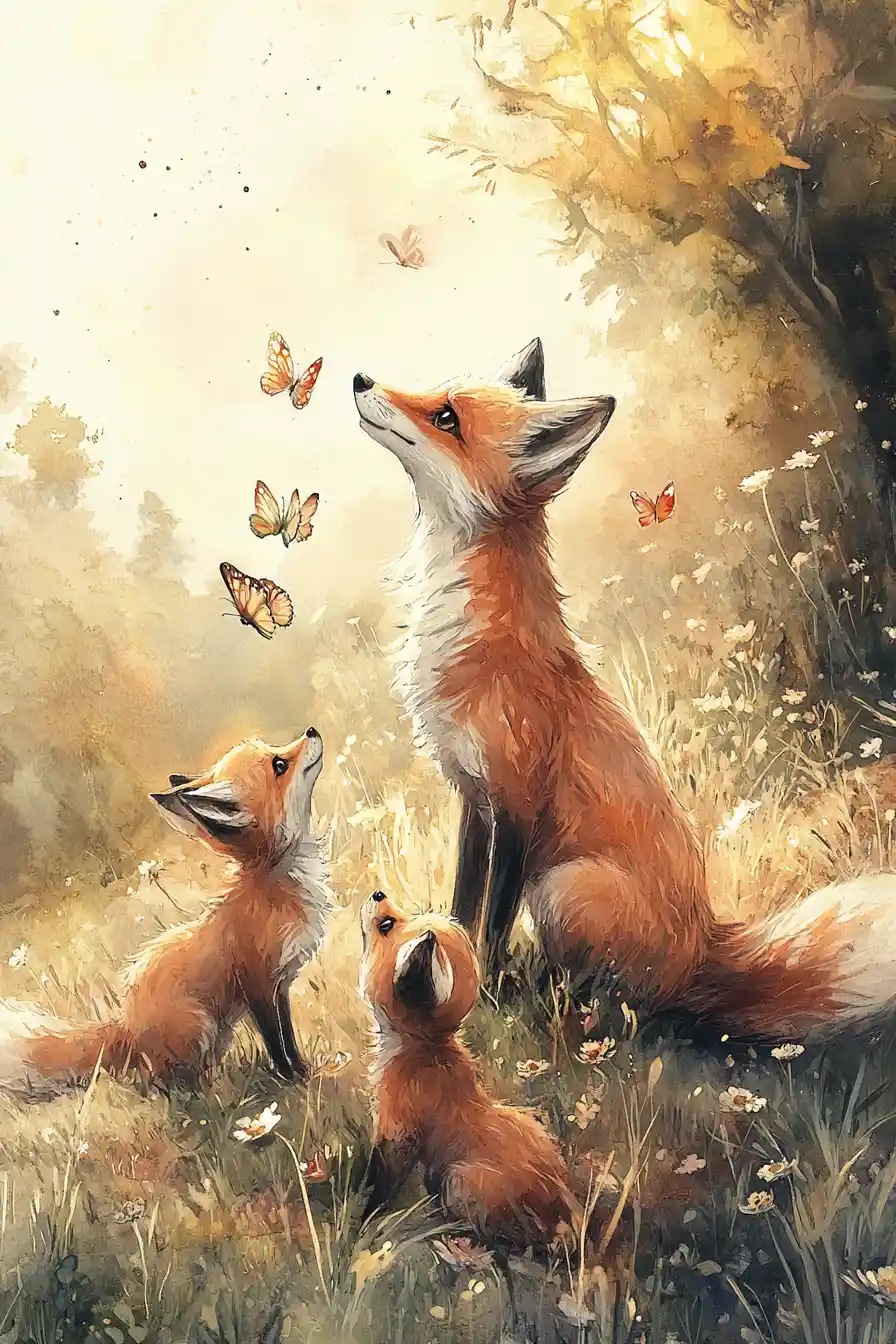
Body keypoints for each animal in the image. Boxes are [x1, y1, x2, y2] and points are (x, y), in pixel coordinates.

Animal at [0, 728, 332, 1097]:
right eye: (279, 764)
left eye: (276, 753)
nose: (312, 731)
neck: (273, 883)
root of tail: (126, 1027)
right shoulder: (257, 985)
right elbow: (277, 1044)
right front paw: (293, 1081)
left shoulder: (281, 987)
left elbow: (288, 1039)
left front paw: (305, 1072)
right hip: (197, 1027)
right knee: (163, 1084)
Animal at [353, 341, 896, 1043]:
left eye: (447, 417)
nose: (358, 377)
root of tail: (702, 948)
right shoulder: (474, 796)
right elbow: (462, 903)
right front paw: (448, 956)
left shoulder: (517, 801)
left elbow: (493, 919)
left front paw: (484, 996)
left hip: (564, 890)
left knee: (628, 1004)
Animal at [358, 889, 577, 1251]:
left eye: (386, 925)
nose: (378, 893)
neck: (424, 1048)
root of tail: (563, 1215)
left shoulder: (397, 1134)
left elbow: (379, 1187)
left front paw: (363, 1224)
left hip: (460, 1181)